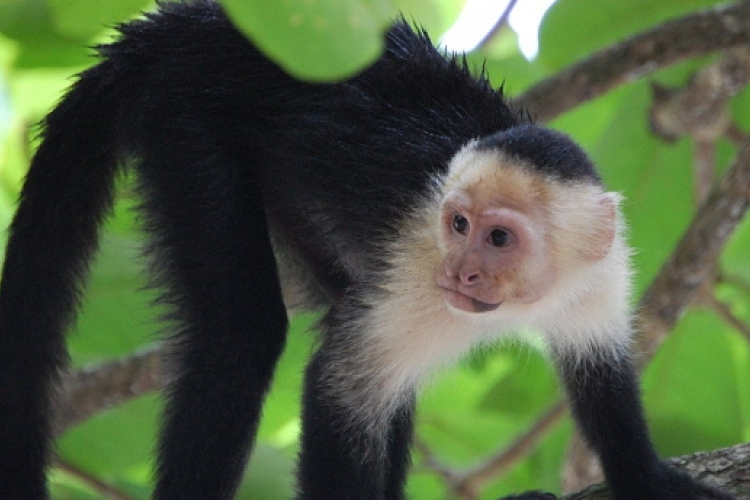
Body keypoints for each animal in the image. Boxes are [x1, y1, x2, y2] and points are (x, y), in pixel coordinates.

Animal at [0, 0, 740, 500]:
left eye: (499, 238)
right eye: (457, 225)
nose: (462, 270)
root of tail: (190, 24)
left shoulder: (599, 275)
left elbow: (600, 378)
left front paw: (646, 476)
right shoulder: (420, 272)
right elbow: (339, 387)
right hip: (187, 124)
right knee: (242, 336)